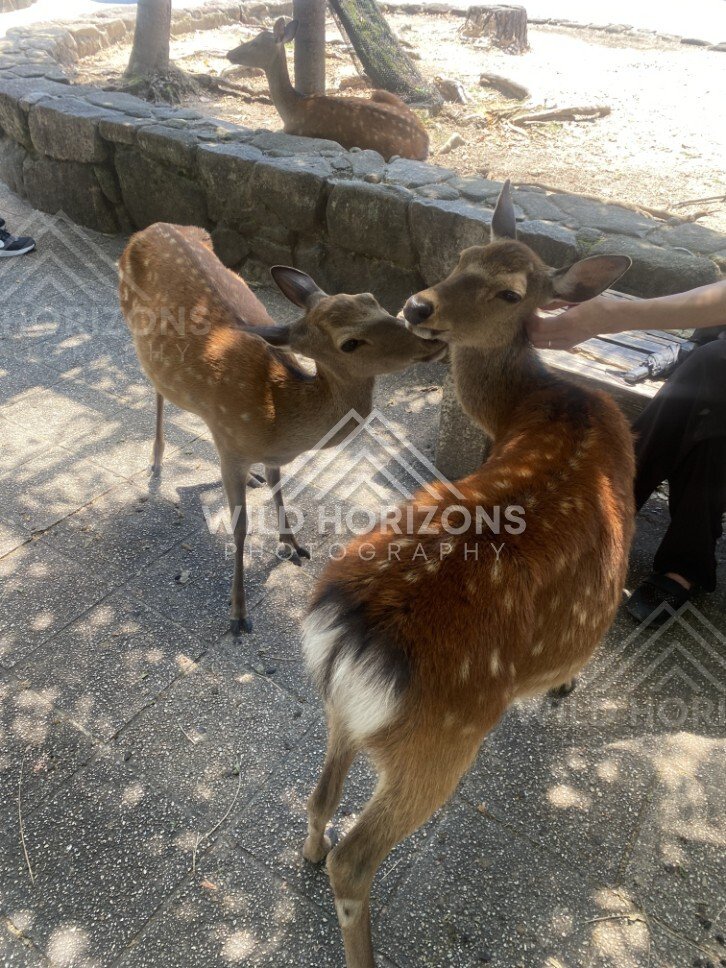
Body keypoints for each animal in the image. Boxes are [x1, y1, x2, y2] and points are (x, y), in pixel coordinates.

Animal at [118, 223, 446, 635]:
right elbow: (239, 527)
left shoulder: (260, 450)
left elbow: (279, 489)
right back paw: (157, 460)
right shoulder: (232, 445)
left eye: (370, 298)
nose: (432, 337)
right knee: (157, 391)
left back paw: (249, 477)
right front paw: (238, 613)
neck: (278, 414)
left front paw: (294, 544)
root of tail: (151, 228)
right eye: (350, 343)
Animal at [226, 18, 429, 162]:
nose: (229, 53)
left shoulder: (296, 131)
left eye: (255, 43)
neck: (292, 108)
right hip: (382, 93)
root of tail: (425, 142)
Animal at [298, 182, 636, 967]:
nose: (418, 306)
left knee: (319, 795)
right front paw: (565, 684)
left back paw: (306, 852)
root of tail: (351, 638)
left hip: (343, 708)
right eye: (461, 258)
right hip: (442, 740)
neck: (542, 406)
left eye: (509, 289)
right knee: (355, 860)